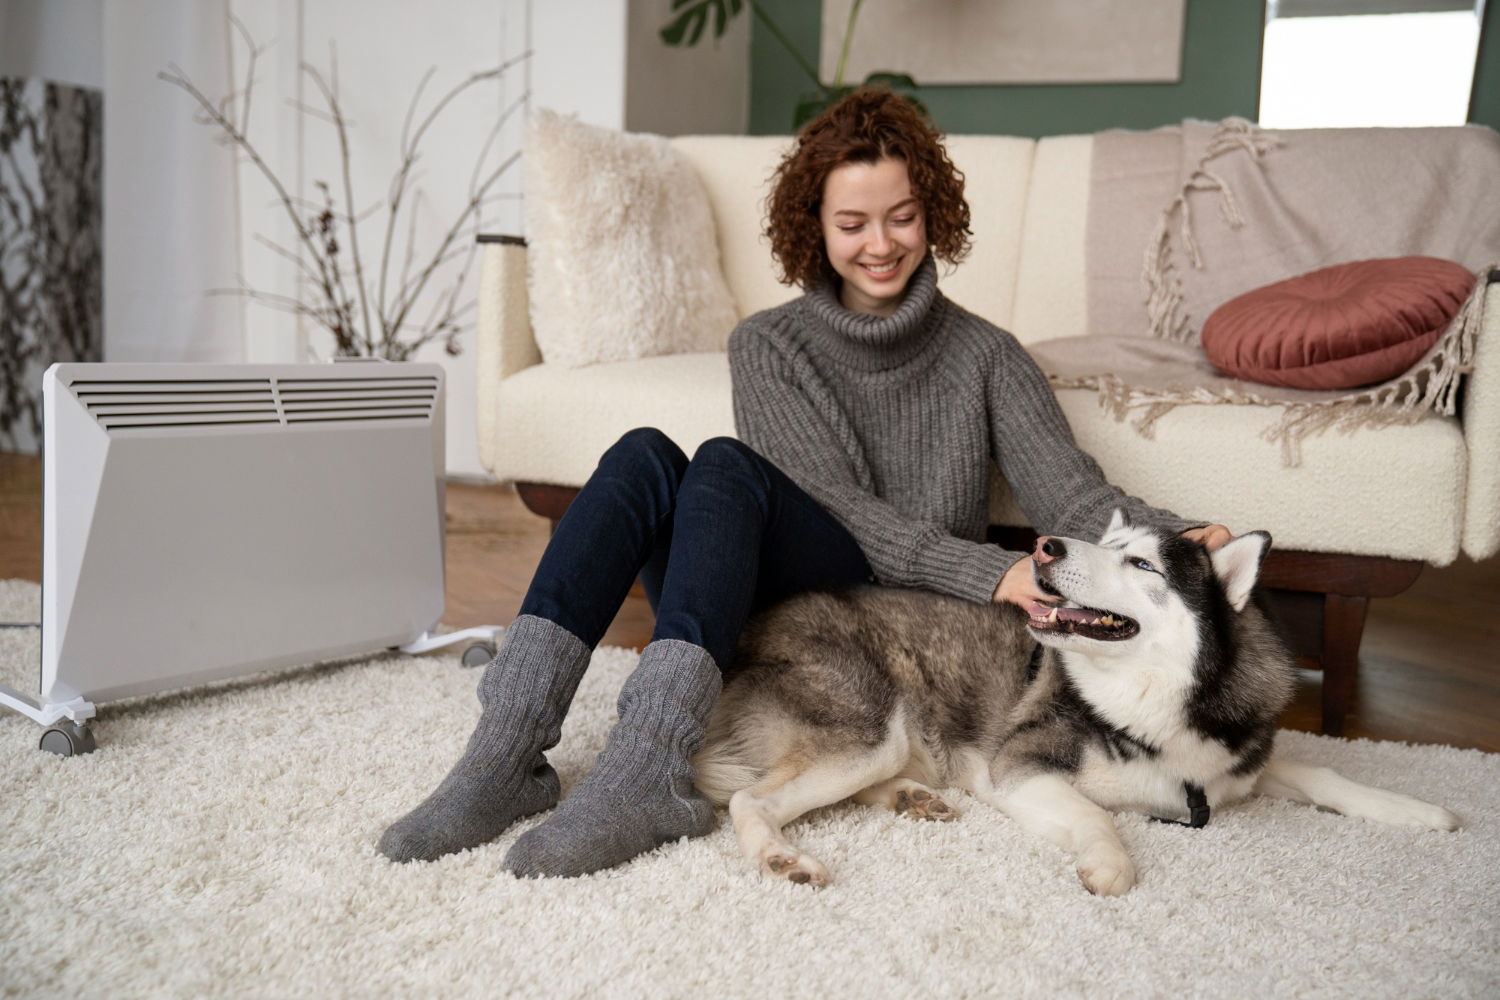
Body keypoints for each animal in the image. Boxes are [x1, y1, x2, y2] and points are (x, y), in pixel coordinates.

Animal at [696, 512, 1458, 893]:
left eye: (1141, 562)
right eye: (1105, 543)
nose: (1044, 547)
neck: (1152, 704)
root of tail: (743, 635)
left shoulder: (1235, 764)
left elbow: (1326, 773)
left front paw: (1416, 810)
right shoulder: (1019, 769)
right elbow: (1097, 815)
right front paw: (1112, 864)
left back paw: (912, 798)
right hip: (873, 727)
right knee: (750, 800)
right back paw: (784, 858)